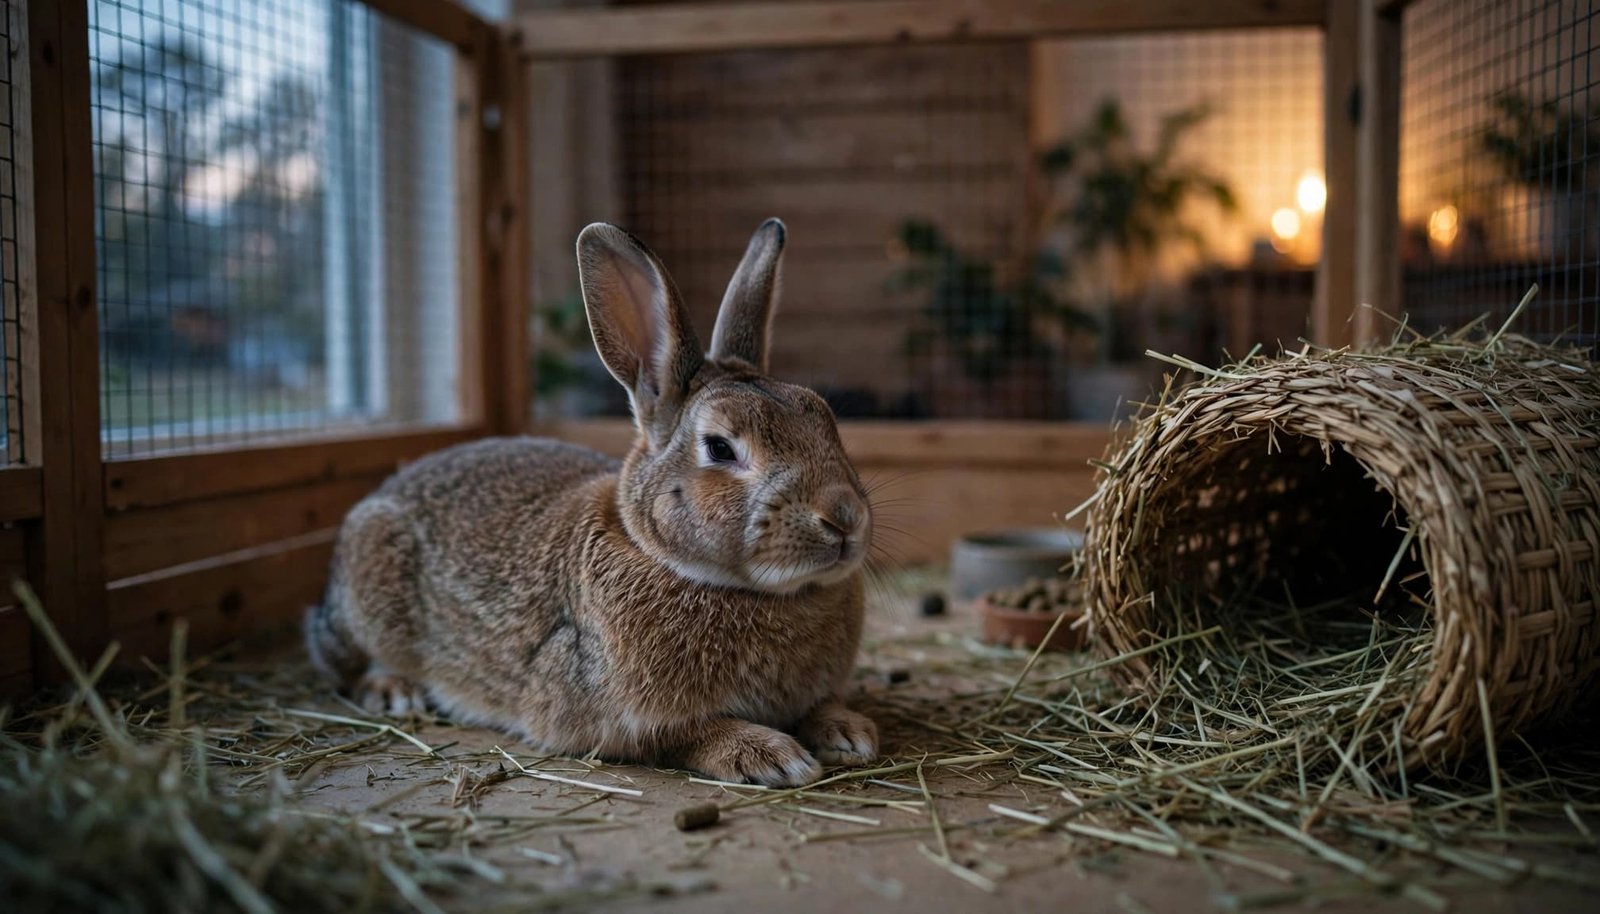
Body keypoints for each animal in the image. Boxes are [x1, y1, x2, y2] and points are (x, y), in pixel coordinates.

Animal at [305, 219, 878, 786]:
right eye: (720, 448)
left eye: (825, 419)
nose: (844, 518)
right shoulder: (609, 717)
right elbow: (689, 734)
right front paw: (770, 755)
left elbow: (819, 706)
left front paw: (850, 731)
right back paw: (395, 691)